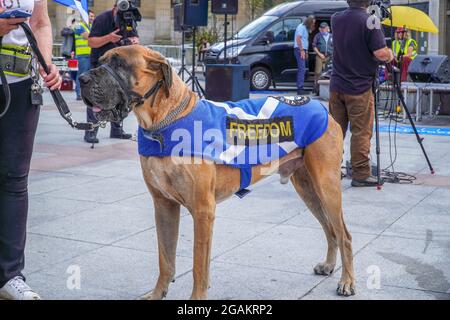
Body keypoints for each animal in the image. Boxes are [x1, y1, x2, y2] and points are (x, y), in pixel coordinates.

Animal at [80, 45, 356, 300]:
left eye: (118, 64)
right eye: (102, 60)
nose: (81, 79)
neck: (163, 122)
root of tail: (322, 108)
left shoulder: (203, 210)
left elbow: (198, 266)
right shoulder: (164, 205)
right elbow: (165, 259)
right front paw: (157, 294)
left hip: (326, 186)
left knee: (344, 234)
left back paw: (347, 281)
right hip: (307, 188)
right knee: (330, 230)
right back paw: (329, 265)